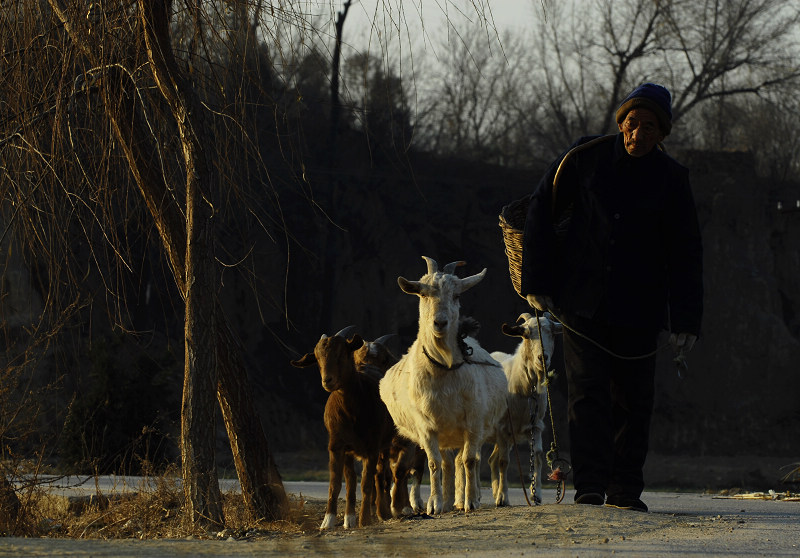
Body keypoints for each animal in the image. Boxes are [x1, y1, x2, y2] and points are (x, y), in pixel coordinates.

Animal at [380, 258, 506, 516]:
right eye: (423, 294)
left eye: (457, 295)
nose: (440, 322)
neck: (445, 367)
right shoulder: (426, 427)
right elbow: (434, 462)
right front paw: (435, 504)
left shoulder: (474, 421)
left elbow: (469, 460)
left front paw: (470, 501)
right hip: (445, 433)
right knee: (447, 462)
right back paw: (447, 501)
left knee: (463, 460)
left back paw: (462, 498)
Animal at [488, 316, 564, 508]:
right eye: (527, 334)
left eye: (552, 333)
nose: (542, 358)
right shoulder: (503, 427)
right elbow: (504, 461)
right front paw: (503, 498)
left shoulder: (535, 426)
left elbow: (537, 455)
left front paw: (536, 494)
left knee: (490, 459)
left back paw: (493, 491)